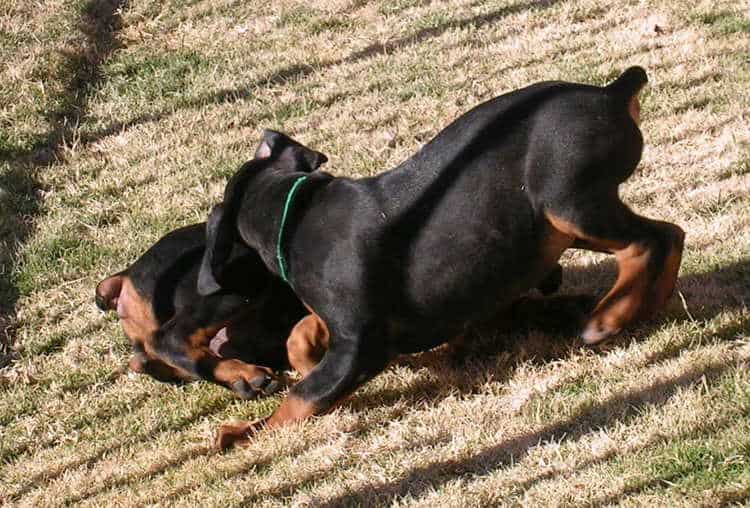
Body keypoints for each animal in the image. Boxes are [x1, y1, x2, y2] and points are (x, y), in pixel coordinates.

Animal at [94, 133, 328, 398]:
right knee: (168, 339)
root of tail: (127, 274)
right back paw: (247, 375)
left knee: (144, 362)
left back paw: (242, 380)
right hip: (239, 277)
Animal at [201, 64, 688, 448]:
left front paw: (242, 433)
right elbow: (300, 331)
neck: (292, 214)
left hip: (570, 204)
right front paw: (301, 359)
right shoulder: (345, 326)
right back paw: (645, 307)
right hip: (554, 229)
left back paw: (607, 317)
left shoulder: (361, 344)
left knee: (648, 242)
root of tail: (612, 92)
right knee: (671, 234)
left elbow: (301, 399)